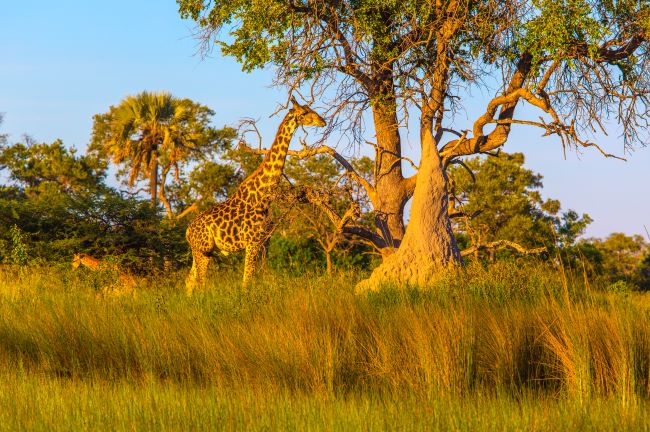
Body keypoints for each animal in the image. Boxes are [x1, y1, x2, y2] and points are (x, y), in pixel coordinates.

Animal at [182, 97, 324, 294]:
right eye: (304, 113)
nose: (323, 121)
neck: (263, 196)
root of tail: (187, 232)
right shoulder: (252, 242)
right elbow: (246, 282)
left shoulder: (263, 241)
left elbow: (256, 278)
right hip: (203, 250)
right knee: (200, 283)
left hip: (201, 251)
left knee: (189, 280)